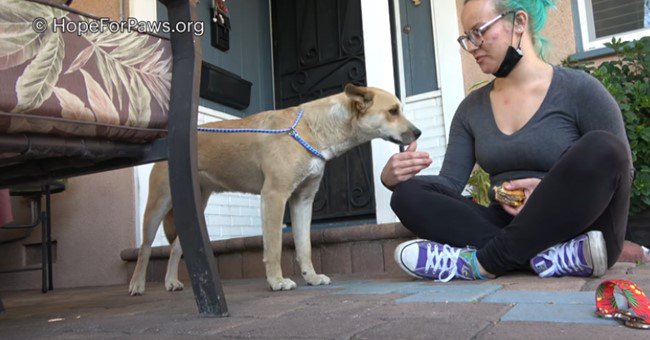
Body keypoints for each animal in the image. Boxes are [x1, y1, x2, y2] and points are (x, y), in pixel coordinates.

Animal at [127, 83, 420, 294]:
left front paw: (311, 277)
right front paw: (277, 281)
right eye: (393, 111)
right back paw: (137, 285)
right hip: (158, 204)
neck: (312, 129)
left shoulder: (303, 200)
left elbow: (304, 246)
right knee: (145, 247)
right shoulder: (274, 196)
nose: (417, 133)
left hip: (195, 204)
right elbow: (274, 246)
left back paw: (170, 282)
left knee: (177, 247)